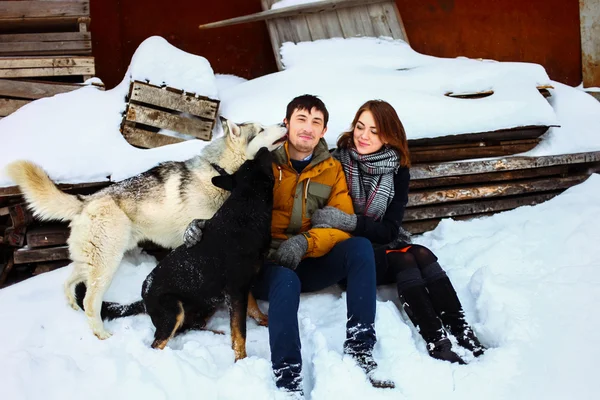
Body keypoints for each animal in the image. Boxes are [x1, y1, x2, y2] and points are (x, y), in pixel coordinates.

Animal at [75, 147, 274, 360]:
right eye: (256, 161)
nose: (264, 149)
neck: (246, 209)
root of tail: (144, 299)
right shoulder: (236, 291)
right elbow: (239, 332)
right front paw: (241, 359)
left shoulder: (244, 286)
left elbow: (253, 307)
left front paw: (264, 320)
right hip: (174, 311)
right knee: (158, 343)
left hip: (207, 302)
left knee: (189, 327)